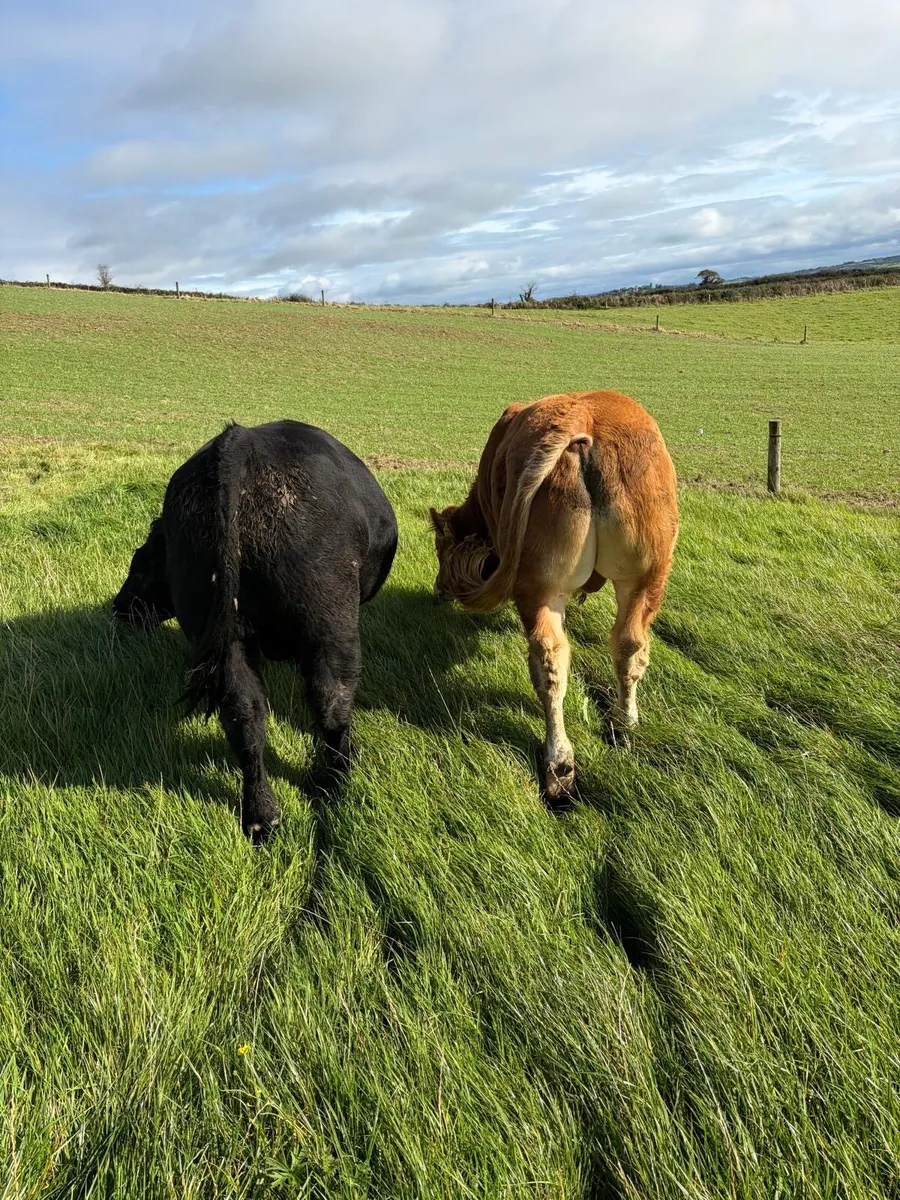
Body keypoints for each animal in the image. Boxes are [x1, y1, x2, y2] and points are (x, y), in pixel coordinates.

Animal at [113, 420, 398, 840]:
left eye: (141, 563)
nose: (119, 607)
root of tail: (240, 443)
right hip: (330, 629)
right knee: (331, 702)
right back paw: (337, 780)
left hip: (228, 639)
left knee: (244, 716)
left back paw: (261, 817)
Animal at [429, 390, 678, 804]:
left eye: (439, 548)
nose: (438, 591)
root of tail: (584, 421)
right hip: (644, 575)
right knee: (626, 644)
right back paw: (621, 724)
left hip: (549, 584)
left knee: (551, 661)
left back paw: (558, 762)